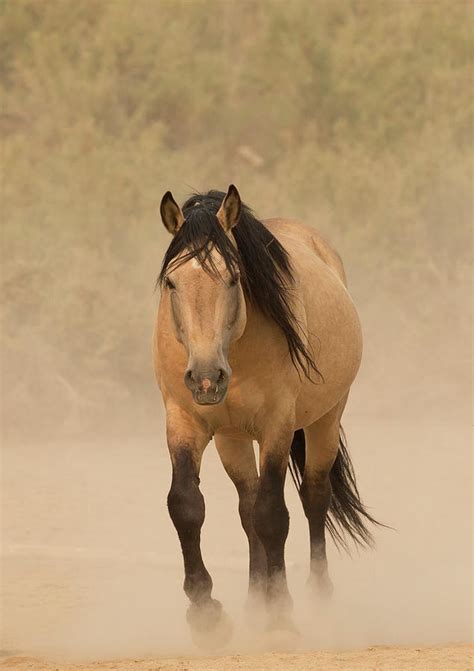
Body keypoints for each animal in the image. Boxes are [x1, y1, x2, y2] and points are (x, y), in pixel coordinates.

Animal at [154, 184, 380, 644]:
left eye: (234, 277)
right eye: (172, 281)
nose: (206, 378)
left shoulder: (277, 426)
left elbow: (273, 514)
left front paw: (280, 614)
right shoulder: (184, 421)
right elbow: (186, 504)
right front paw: (206, 613)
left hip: (325, 420)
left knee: (313, 497)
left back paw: (317, 598)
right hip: (232, 438)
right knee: (247, 506)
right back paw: (253, 601)